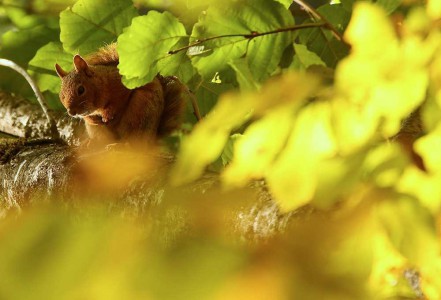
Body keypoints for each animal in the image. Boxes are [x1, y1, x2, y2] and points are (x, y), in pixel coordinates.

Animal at [54, 42, 186, 145]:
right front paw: (91, 119)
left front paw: (108, 115)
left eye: (81, 90)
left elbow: (118, 102)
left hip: (140, 113)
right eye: (61, 96)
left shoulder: (122, 86)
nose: (71, 112)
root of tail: (151, 139)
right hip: (98, 131)